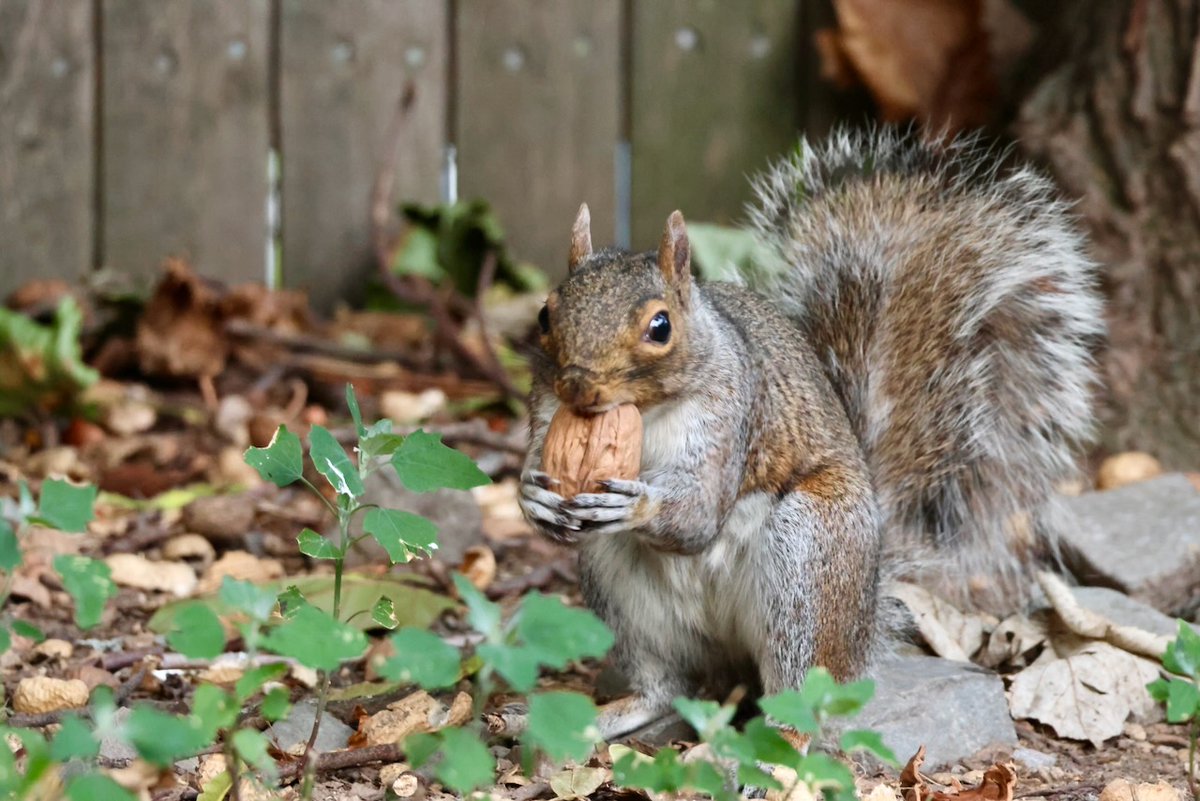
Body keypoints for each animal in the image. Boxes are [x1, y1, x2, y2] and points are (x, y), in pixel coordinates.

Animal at [518, 128, 1104, 740]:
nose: (579, 386)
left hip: (810, 555)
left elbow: (699, 515)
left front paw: (639, 504)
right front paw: (533, 497)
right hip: (622, 591)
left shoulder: (733, 413)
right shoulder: (545, 406)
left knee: (802, 696)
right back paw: (599, 718)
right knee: (665, 688)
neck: (645, 412)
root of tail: (865, 617)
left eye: (661, 327)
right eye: (545, 314)